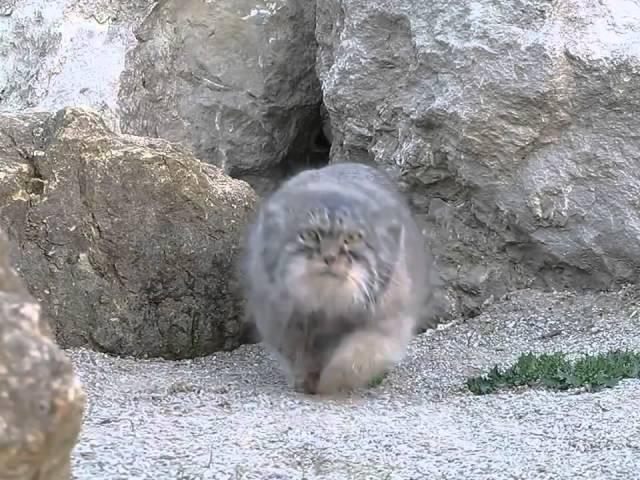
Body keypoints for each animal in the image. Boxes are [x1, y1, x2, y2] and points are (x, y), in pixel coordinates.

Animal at [240, 161, 440, 394]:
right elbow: (297, 356)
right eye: (310, 235)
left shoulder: (385, 320)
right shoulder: (282, 320)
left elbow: (358, 355)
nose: (330, 257)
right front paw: (305, 380)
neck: (328, 307)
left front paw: (332, 382)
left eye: (352, 238)